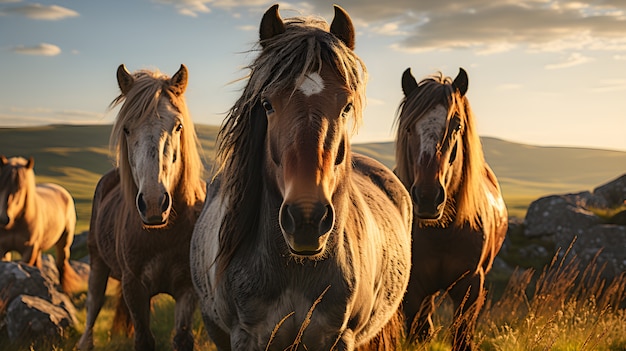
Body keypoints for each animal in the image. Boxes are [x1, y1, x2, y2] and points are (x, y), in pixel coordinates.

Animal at [0, 157, 81, 294]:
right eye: (1, 187)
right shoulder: (3, 249)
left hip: (63, 244)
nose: (4, 218)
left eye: (20, 188)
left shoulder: (29, 249)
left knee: (61, 265)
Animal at [77, 64, 206, 350]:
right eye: (126, 129)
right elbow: (144, 338)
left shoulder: (188, 289)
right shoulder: (134, 287)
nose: (154, 203)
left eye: (178, 126)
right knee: (93, 305)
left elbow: (183, 337)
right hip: (97, 262)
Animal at [191, 4, 414, 350]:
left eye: (346, 106)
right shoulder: (245, 336)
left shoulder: (339, 337)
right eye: (267, 104)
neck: (295, 272)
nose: (307, 219)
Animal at [394, 67, 508, 350]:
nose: (427, 197)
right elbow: (417, 333)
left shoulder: (470, 286)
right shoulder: (414, 289)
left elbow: (462, 338)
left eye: (456, 125)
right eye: (409, 127)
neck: (442, 233)